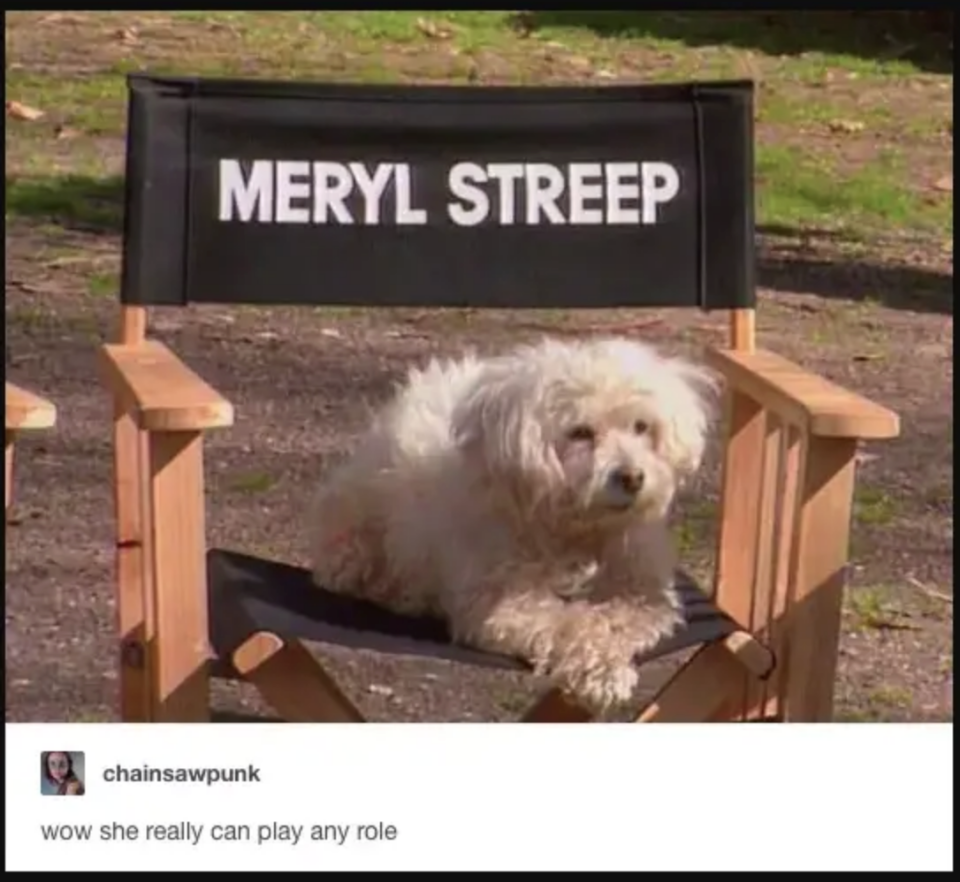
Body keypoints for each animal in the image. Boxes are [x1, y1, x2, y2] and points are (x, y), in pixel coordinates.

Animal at [312, 334, 716, 712]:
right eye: (580, 432)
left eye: (641, 427)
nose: (632, 477)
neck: (580, 529)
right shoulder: (503, 606)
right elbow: (567, 622)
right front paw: (602, 673)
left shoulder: (645, 597)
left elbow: (609, 618)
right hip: (358, 539)